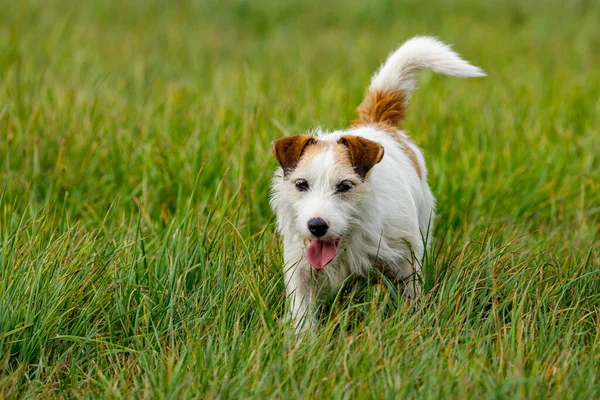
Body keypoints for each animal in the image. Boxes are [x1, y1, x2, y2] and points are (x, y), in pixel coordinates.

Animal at [270, 36, 486, 330]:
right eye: (301, 184)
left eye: (344, 186)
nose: (316, 226)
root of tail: (377, 123)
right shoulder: (300, 269)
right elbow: (302, 312)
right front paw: (302, 339)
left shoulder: (408, 261)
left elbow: (410, 296)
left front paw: (409, 326)